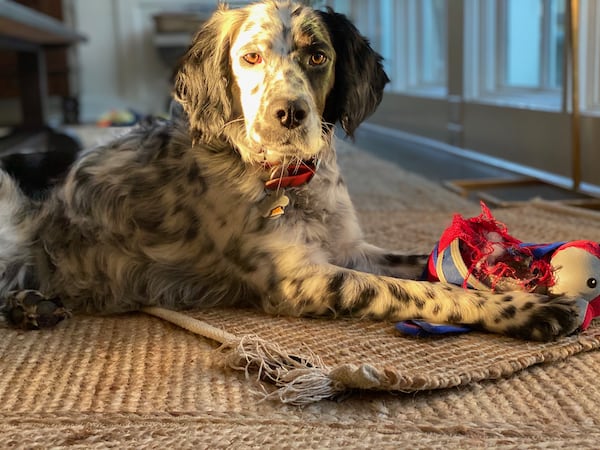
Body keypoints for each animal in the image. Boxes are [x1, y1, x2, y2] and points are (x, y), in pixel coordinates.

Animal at [0, 0, 580, 340]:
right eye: (251, 57)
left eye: (317, 55)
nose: (289, 114)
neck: (289, 181)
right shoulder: (300, 279)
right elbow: (425, 292)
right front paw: (525, 307)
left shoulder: (348, 248)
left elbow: (423, 265)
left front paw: (507, 261)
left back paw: (31, 306)